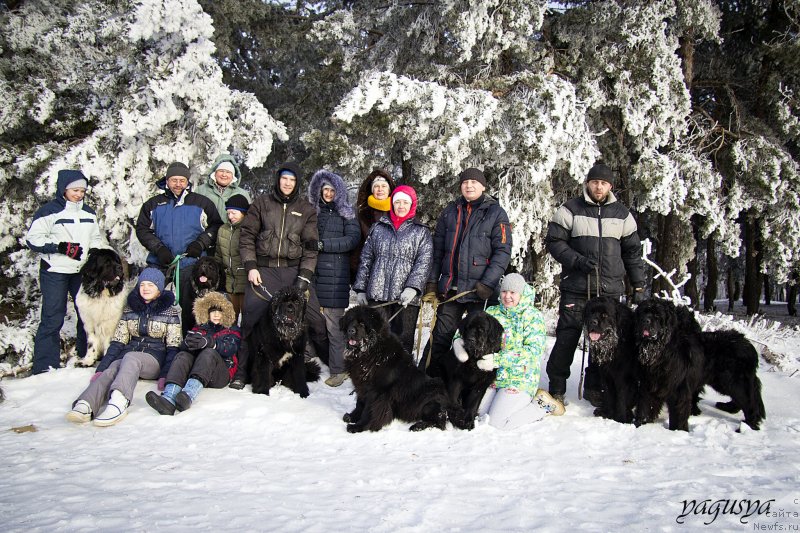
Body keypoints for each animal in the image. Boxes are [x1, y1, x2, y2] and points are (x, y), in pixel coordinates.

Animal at [340, 304, 462, 432]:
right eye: (349, 322)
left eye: (362, 323)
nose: (350, 330)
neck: (370, 352)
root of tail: (451, 403)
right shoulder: (361, 385)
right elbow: (360, 404)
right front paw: (352, 416)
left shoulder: (376, 391)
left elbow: (369, 410)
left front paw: (360, 426)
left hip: (429, 400)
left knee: (439, 422)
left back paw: (418, 426)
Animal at [580, 296, 636, 424]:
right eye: (591, 313)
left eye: (605, 315)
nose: (592, 322)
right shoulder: (606, 374)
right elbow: (609, 395)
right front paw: (608, 414)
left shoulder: (623, 377)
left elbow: (622, 398)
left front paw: (620, 419)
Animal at [636, 298, 764, 430]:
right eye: (643, 313)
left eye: (657, 315)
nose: (645, 320)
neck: (659, 350)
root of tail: (749, 346)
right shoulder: (649, 384)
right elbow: (645, 407)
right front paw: (641, 425)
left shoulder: (678, 389)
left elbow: (678, 414)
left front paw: (678, 431)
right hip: (724, 382)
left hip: (733, 381)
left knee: (750, 403)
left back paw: (747, 426)